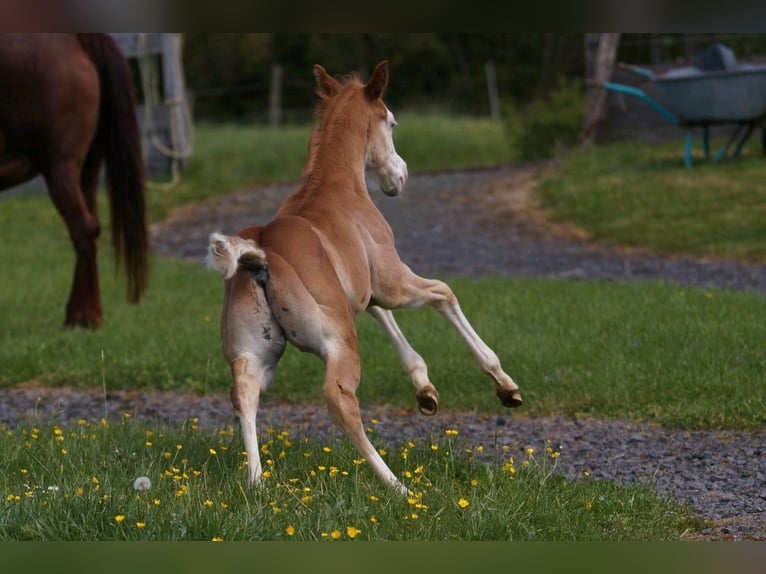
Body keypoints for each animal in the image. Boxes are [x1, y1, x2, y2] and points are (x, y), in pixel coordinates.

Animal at [0, 33, 147, 328]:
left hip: (61, 167)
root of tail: (76, 38)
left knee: (83, 228)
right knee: (91, 227)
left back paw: (83, 315)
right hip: (88, 167)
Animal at [207, 62, 524, 496]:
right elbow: (444, 293)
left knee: (244, 394)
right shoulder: (392, 283)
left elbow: (387, 320)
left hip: (254, 353)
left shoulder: (365, 292)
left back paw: (257, 483)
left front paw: (426, 391)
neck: (336, 186)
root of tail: (260, 251)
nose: (401, 175)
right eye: (391, 121)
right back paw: (396, 485)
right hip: (339, 342)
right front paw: (505, 385)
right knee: (340, 398)